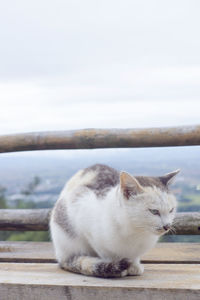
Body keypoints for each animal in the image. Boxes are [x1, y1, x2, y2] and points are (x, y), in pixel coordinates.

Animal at [50, 165, 180, 278]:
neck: (135, 231)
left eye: (171, 210)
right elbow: (107, 253)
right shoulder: (82, 208)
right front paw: (117, 266)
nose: (167, 226)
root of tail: (61, 256)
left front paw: (134, 265)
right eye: (154, 211)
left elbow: (134, 256)